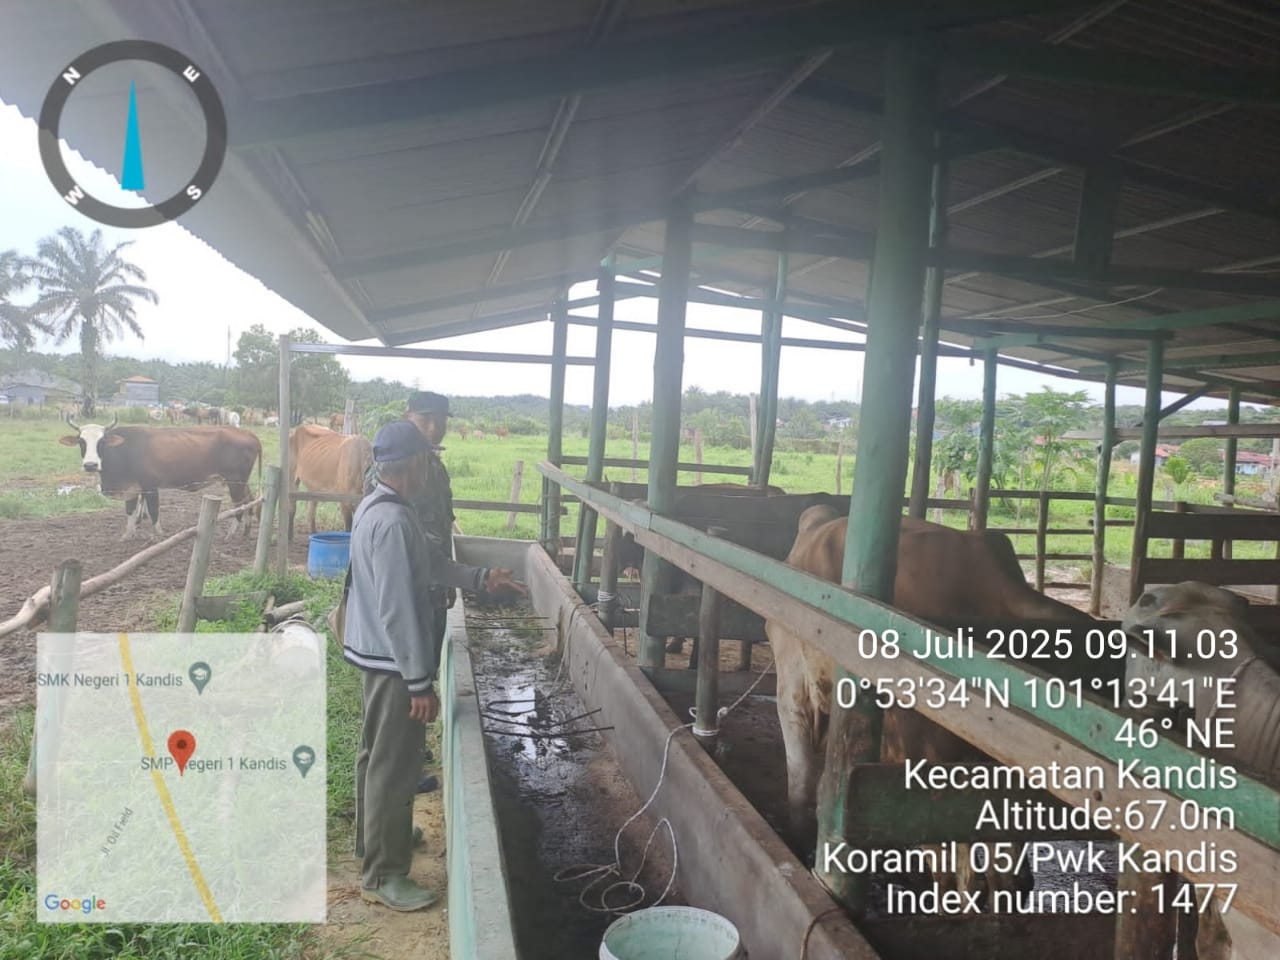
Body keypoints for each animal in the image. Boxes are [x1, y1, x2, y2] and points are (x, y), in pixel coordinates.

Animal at [59, 414, 262, 539]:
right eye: (81, 441)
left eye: (102, 442)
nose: (90, 465)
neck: (125, 450)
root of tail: (247, 433)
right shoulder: (131, 488)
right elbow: (130, 511)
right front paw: (128, 535)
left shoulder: (150, 486)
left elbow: (153, 511)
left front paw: (157, 535)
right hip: (241, 482)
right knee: (249, 501)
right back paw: (246, 531)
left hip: (235, 481)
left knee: (239, 505)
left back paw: (231, 533)